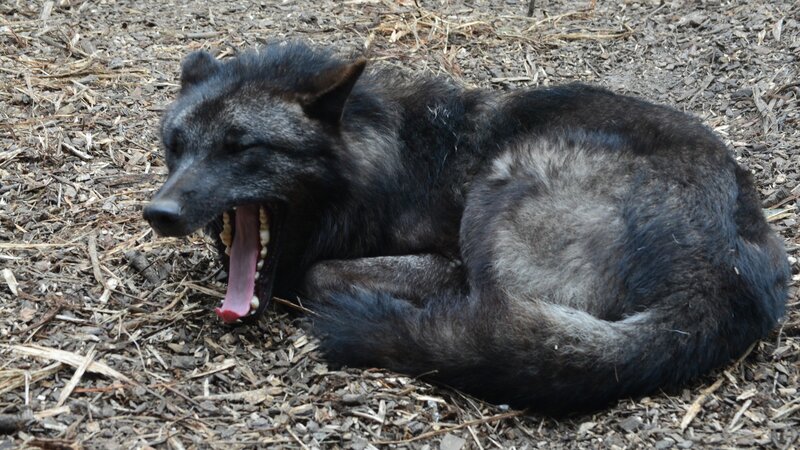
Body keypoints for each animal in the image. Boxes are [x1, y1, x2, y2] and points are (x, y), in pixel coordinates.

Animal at [143, 42, 789, 414]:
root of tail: (722, 278)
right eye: (176, 146)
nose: (160, 213)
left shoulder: (444, 259)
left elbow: (319, 273)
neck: (387, 159)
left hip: (502, 186)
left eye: (241, 149)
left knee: (489, 325)